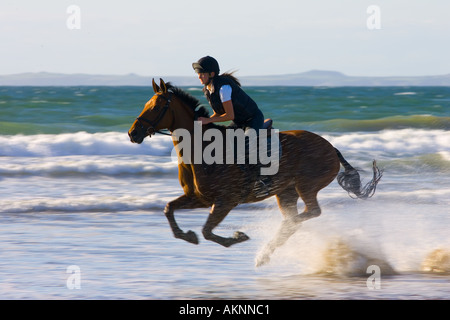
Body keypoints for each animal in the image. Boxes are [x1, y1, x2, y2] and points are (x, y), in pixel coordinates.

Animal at [128, 79, 382, 266]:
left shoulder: (225, 201)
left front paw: (237, 237)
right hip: (286, 192)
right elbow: (169, 209)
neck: (201, 148)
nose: (133, 133)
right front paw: (188, 236)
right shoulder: (198, 198)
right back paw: (265, 254)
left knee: (308, 213)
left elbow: (208, 230)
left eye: (156, 107)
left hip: (305, 186)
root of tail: (330, 147)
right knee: (294, 220)